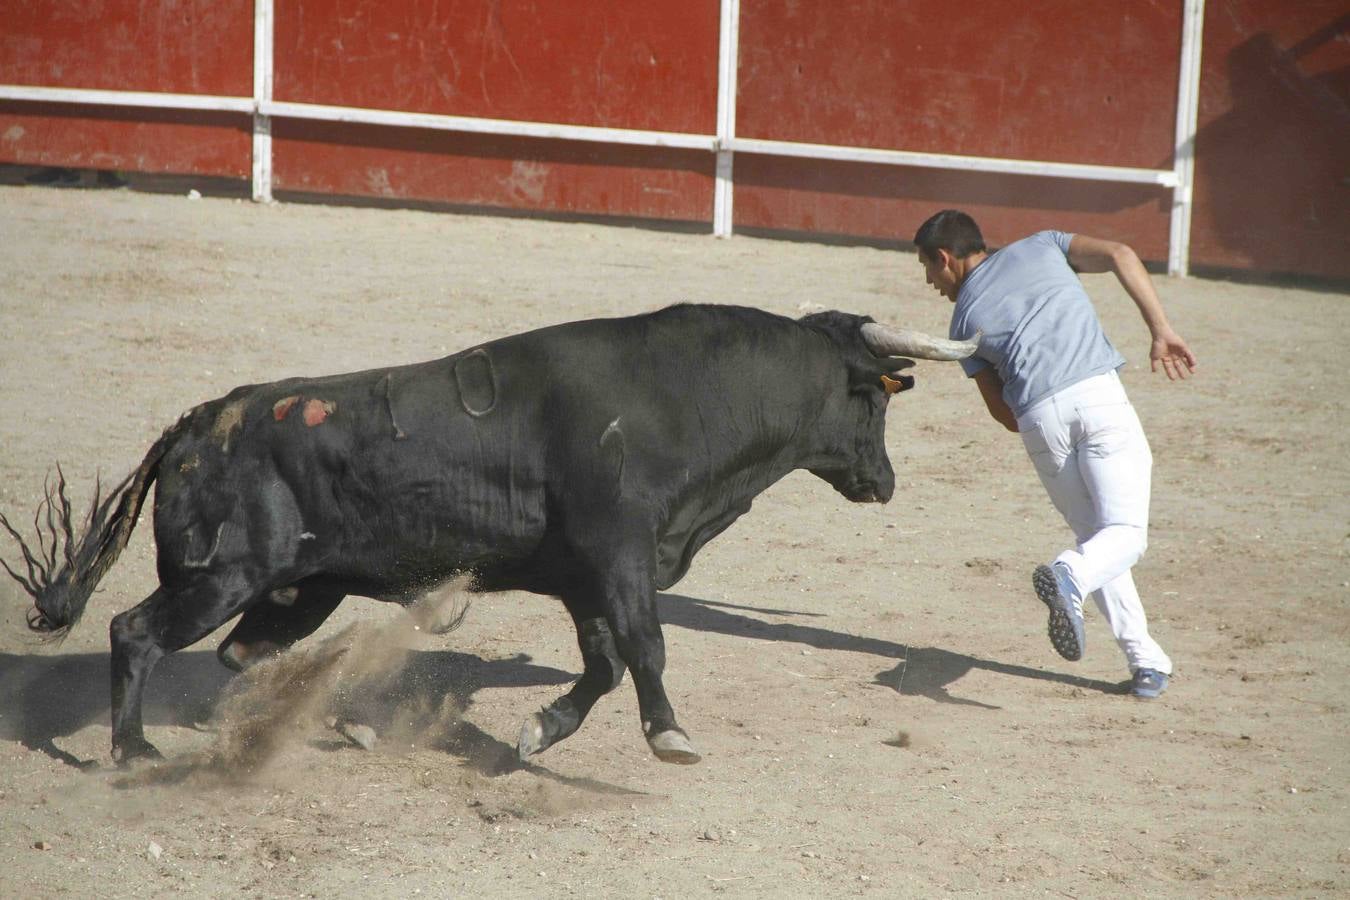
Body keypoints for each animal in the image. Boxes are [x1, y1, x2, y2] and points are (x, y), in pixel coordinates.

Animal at [1, 303, 975, 766]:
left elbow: (604, 664)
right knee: (137, 632)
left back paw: (341, 725)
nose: (885, 483)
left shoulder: (587, 581)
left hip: (301, 588)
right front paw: (670, 736)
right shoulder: (622, 556)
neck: (682, 397)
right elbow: (647, 648)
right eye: (874, 402)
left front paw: (539, 731)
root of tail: (201, 420)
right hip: (221, 574)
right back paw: (131, 748)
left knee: (241, 655)